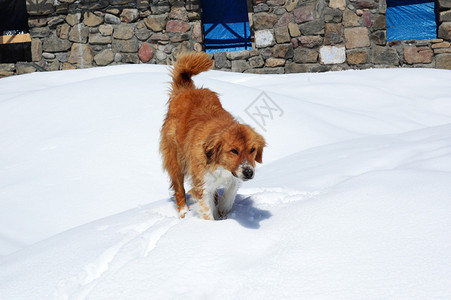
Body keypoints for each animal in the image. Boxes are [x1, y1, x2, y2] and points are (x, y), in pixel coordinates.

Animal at [160, 52, 266, 220]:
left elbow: (230, 193)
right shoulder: (202, 183)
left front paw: (223, 212)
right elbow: (206, 209)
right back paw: (184, 212)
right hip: (175, 160)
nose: (249, 172)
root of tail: (185, 90)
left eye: (252, 150)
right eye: (234, 150)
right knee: (179, 188)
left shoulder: (232, 177)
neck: (220, 165)